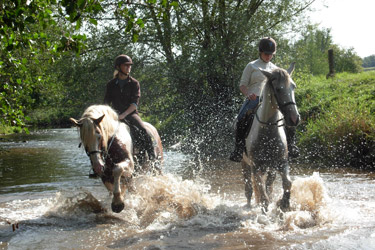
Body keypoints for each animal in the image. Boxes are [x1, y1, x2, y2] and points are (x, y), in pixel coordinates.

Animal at [242, 63, 302, 213]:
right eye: (278, 89)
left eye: (293, 86)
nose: (294, 119)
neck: (268, 130)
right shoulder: (256, 167)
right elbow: (263, 196)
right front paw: (265, 212)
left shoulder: (282, 163)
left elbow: (287, 183)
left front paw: (284, 204)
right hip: (245, 163)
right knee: (249, 189)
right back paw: (249, 205)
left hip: (271, 169)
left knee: (268, 185)